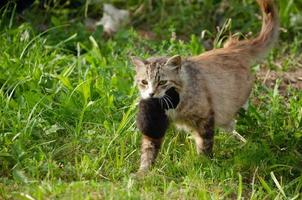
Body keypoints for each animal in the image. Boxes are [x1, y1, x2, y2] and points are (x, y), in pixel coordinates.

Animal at [132, 0, 278, 172]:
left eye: (162, 82)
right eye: (144, 82)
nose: (151, 94)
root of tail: (234, 49)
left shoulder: (206, 117)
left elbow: (205, 144)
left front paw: (204, 164)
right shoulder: (155, 125)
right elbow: (149, 150)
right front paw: (143, 172)